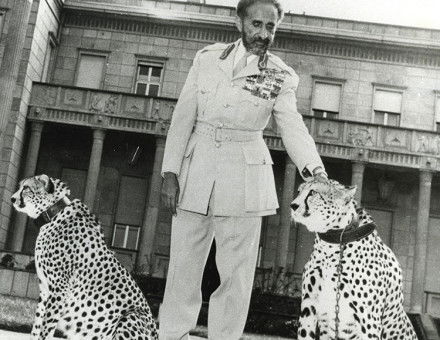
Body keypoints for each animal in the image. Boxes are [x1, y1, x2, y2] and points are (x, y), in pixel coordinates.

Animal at [10, 175, 160, 340]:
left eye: (26, 188)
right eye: (20, 186)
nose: (12, 199)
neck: (53, 214)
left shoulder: (60, 289)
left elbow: (46, 328)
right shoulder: (45, 291)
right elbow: (37, 326)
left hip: (130, 317)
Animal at [292, 179, 416, 338]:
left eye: (313, 192)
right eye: (299, 191)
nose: (293, 205)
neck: (332, 243)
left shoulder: (369, 319)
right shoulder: (309, 307)